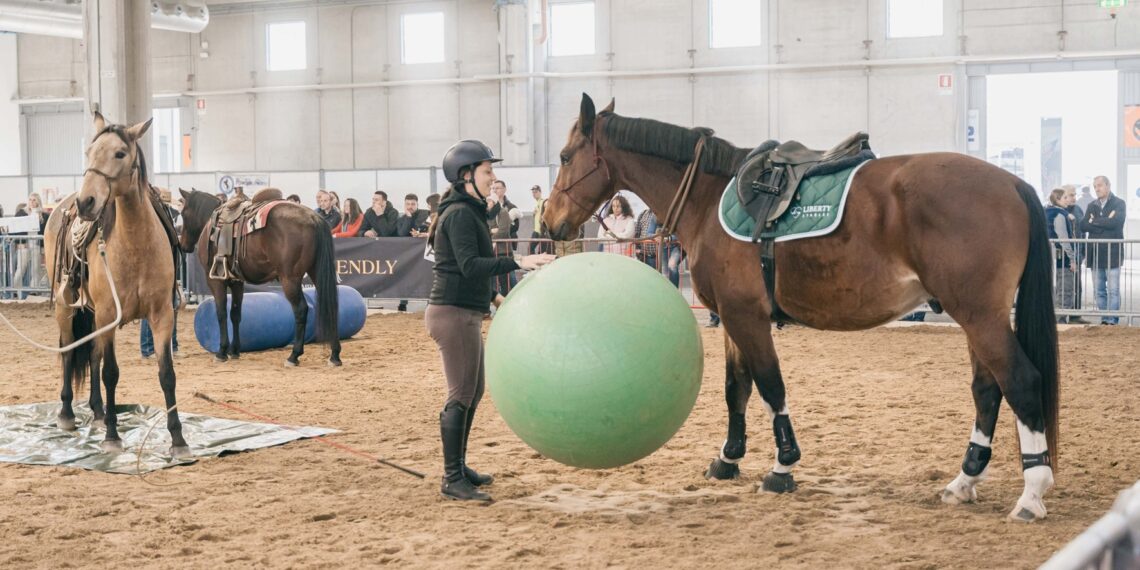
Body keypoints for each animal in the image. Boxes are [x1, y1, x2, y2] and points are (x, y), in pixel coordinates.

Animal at [43, 113, 190, 458]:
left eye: (120, 153)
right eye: (89, 153)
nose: (87, 202)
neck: (136, 244)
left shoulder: (162, 315)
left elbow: (167, 374)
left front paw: (177, 439)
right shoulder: (110, 313)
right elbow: (111, 373)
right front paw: (113, 435)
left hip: (94, 315)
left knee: (92, 354)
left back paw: (97, 412)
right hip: (66, 306)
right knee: (69, 351)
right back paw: (68, 414)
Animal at [177, 188, 342, 367]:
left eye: (183, 213)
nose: (182, 245)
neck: (213, 227)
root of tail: (313, 218)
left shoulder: (215, 280)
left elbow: (221, 313)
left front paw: (222, 351)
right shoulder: (237, 282)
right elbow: (235, 314)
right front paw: (234, 350)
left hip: (290, 279)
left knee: (301, 310)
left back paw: (294, 355)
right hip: (316, 272)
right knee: (331, 305)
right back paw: (334, 355)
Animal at [543, 94, 1060, 522]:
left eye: (565, 157)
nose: (549, 222)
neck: (708, 200)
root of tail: (1013, 184)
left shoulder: (747, 317)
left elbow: (770, 387)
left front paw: (781, 466)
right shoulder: (731, 318)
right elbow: (736, 389)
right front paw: (728, 459)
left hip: (979, 315)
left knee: (1020, 382)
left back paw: (1032, 493)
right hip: (975, 317)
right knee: (987, 390)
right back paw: (965, 480)